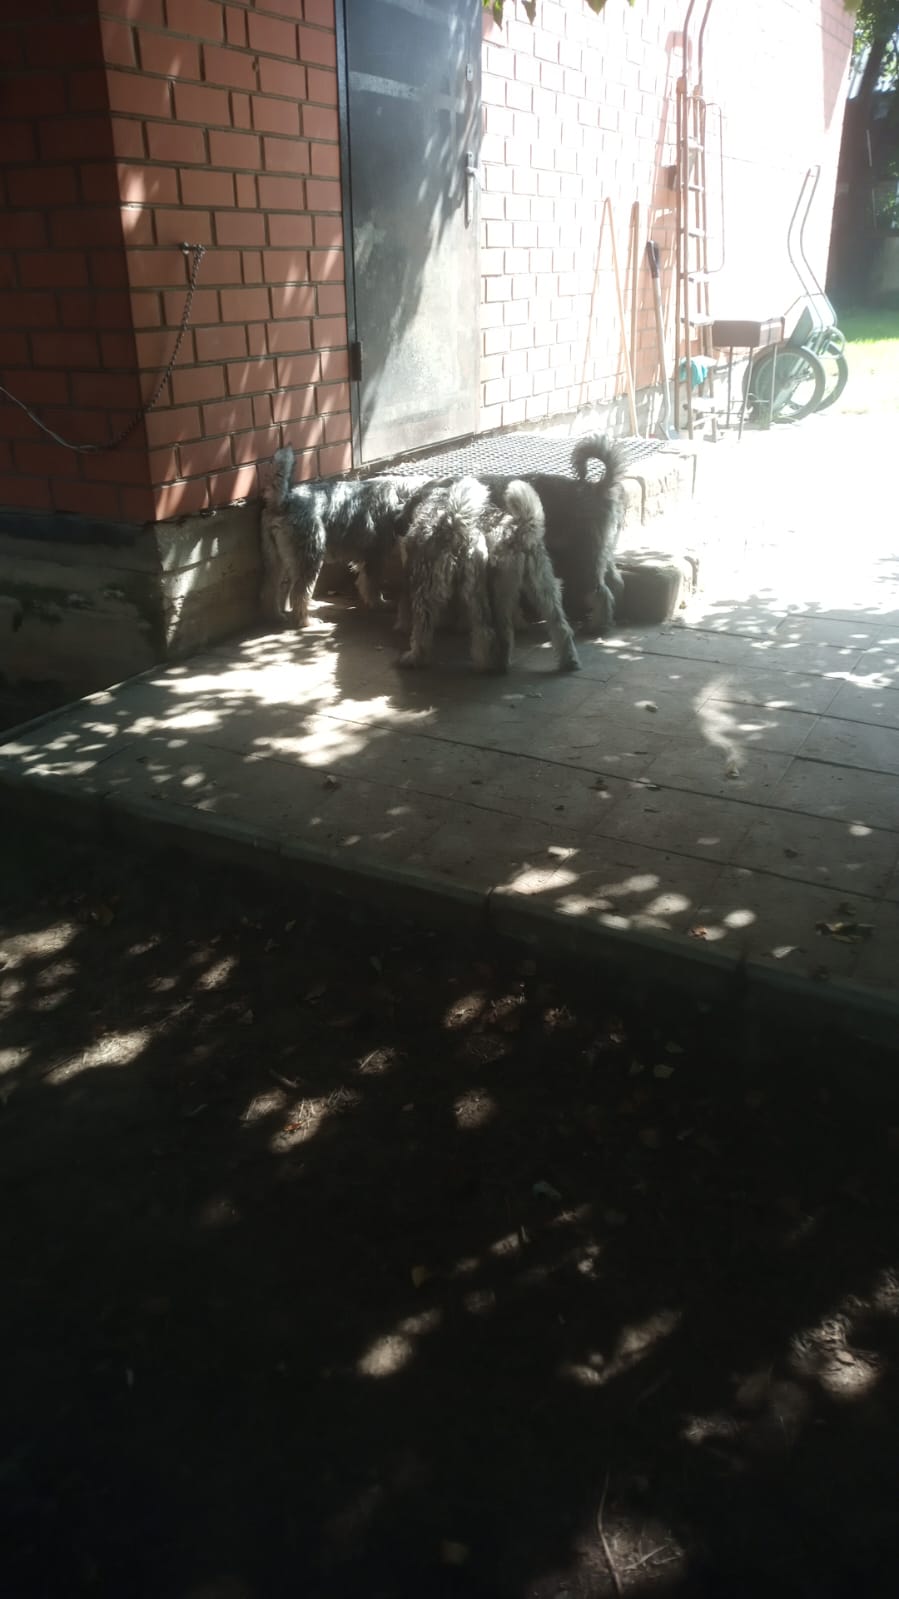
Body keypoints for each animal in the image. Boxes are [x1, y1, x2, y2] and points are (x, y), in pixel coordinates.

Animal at [260, 444, 427, 626]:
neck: (399, 495)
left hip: (276, 559)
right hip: (310, 556)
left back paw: (276, 617)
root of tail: (284, 502)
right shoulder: (375, 555)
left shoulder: (367, 558)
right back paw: (306, 620)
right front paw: (380, 604)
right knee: (299, 592)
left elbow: (364, 582)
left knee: (270, 590)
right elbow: (372, 584)